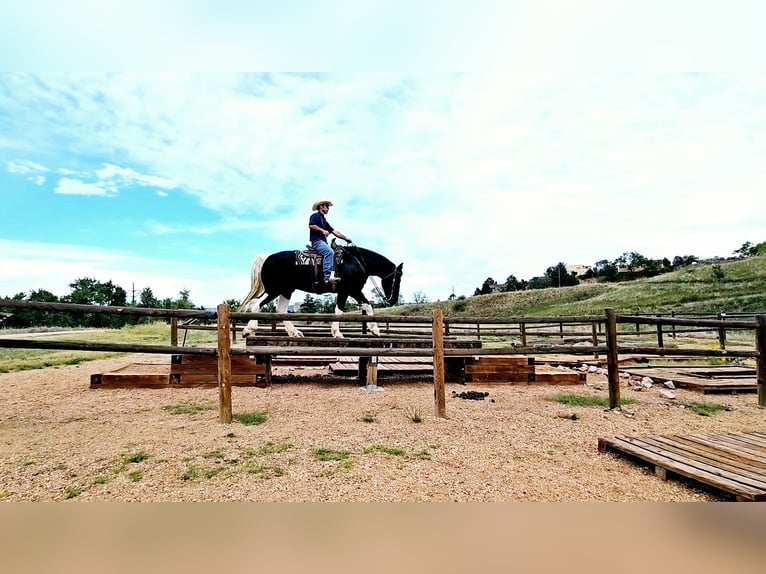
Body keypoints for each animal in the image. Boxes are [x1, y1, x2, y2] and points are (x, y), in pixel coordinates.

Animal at [240, 244, 404, 342]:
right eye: (398, 278)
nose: (393, 299)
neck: (356, 261)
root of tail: (267, 258)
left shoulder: (352, 290)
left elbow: (365, 306)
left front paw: (374, 329)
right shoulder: (349, 289)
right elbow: (341, 310)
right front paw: (338, 333)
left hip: (286, 290)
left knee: (280, 311)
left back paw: (295, 333)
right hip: (275, 290)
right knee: (256, 305)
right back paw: (249, 330)